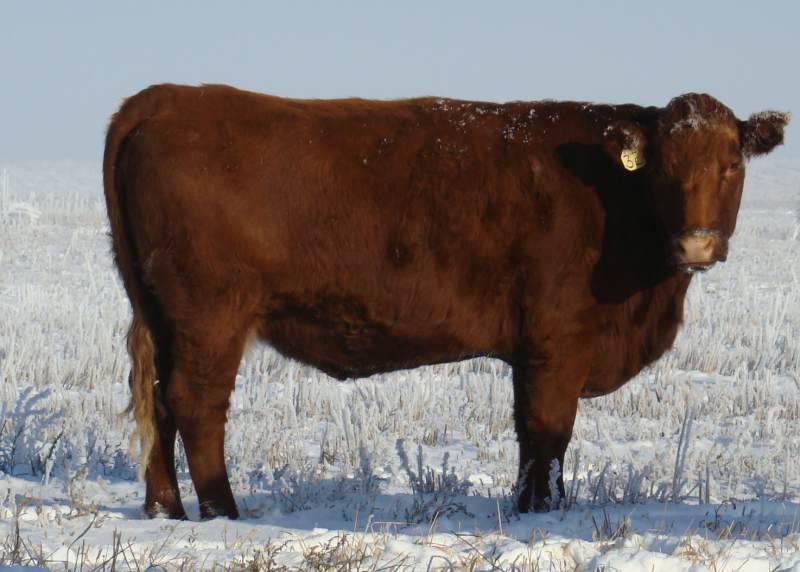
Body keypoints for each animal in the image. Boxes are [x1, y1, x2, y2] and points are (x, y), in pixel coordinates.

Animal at [102, 84, 788, 519]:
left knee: (158, 402)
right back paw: (223, 511)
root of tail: (163, 98)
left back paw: (165, 508)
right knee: (196, 404)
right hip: (211, 317)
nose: (697, 243)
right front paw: (543, 512)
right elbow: (548, 433)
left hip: (160, 315)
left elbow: (533, 437)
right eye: (663, 168)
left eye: (732, 163)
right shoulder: (557, 343)